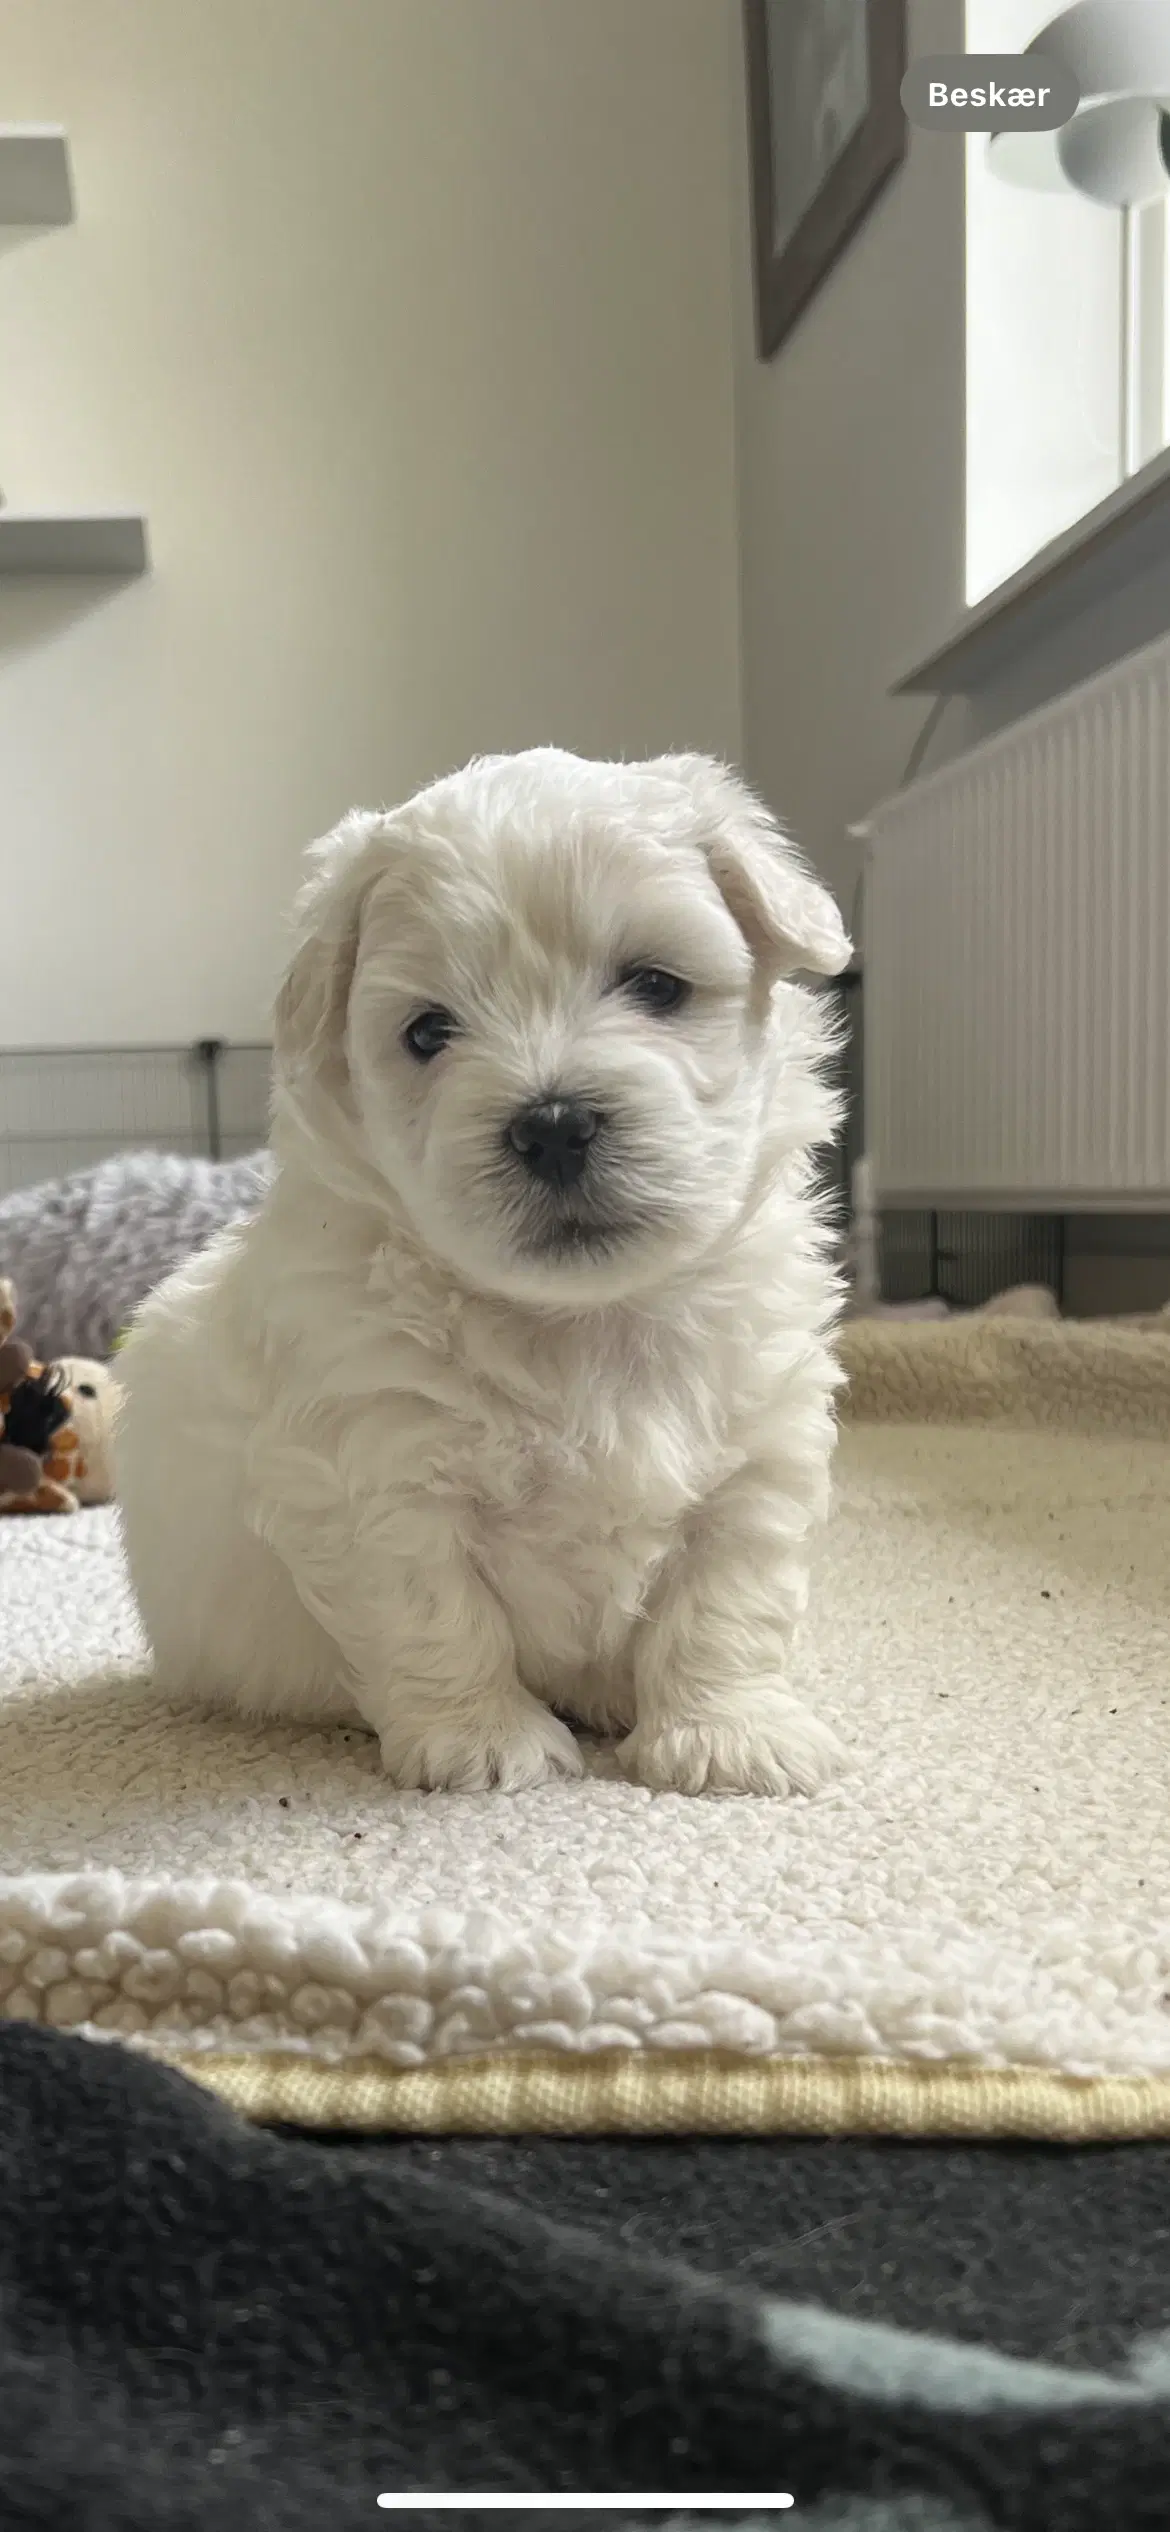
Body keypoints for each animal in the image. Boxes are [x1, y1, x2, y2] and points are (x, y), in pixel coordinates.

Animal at [116, 749, 850, 1802]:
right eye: (429, 1032)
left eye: (656, 985)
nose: (553, 1123)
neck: (579, 1322)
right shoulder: (376, 1468)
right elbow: (435, 1613)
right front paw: (485, 1742)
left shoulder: (758, 1453)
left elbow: (727, 1604)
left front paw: (729, 1734)